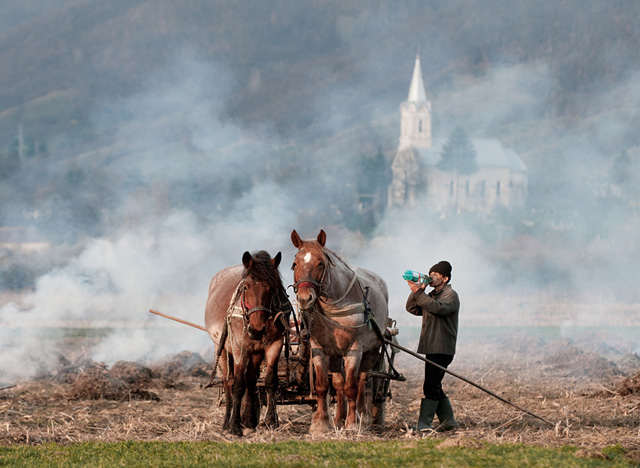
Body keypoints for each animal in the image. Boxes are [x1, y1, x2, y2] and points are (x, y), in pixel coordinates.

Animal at [205, 250, 290, 436]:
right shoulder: (239, 348)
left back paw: (250, 421)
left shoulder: (275, 344)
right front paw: (234, 426)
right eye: (246, 287)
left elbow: (270, 381)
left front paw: (271, 421)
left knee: (251, 379)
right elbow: (238, 385)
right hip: (222, 349)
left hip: (256, 352)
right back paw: (227, 422)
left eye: (272, 287)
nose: (257, 328)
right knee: (228, 382)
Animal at [292, 229, 390, 434]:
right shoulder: (319, 349)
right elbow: (323, 386)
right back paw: (338, 420)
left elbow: (351, 386)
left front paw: (352, 423)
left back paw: (363, 417)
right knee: (338, 384)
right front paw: (321, 424)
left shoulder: (354, 349)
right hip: (336, 356)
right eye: (294, 264)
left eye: (320, 263)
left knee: (361, 380)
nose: (305, 299)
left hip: (371, 351)